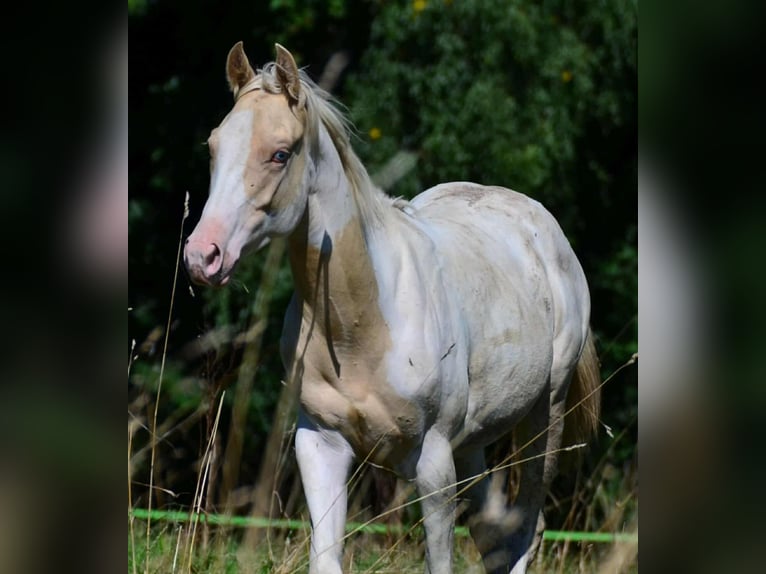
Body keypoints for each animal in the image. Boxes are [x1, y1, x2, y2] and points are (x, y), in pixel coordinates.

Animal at [184, 42, 601, 574]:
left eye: (279, 154)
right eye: (214, 148)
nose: (203, 255)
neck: (360, 324)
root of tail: (543, 226)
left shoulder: (434, 461)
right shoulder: (320, 446)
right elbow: (327, 559)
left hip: (544, 416)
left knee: (527, 528)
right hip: (475, 442)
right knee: (495, 535)